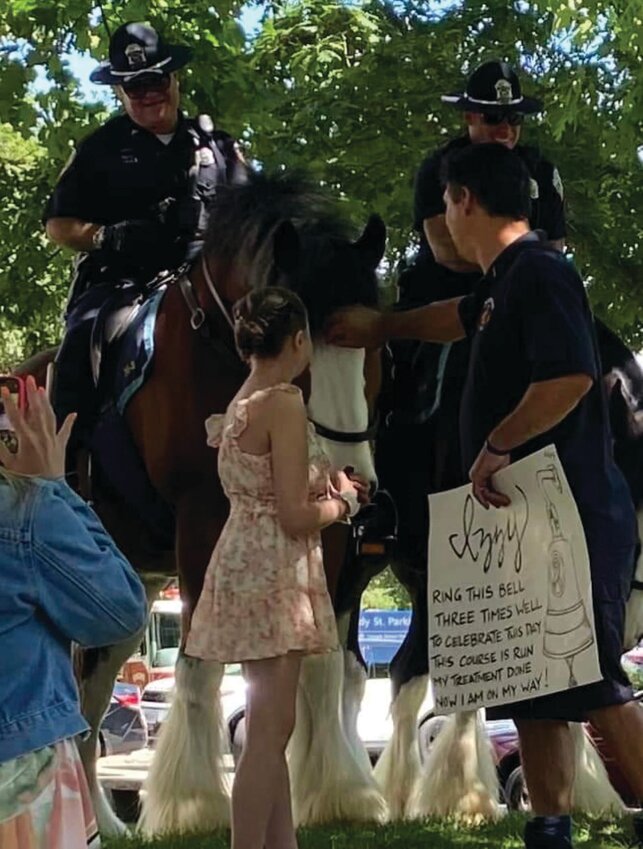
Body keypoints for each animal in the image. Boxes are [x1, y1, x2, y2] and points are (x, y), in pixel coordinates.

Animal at [17, 172, 388, 836]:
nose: (352, 476)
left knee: (89, 694)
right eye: (308, 353)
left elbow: (321, 665)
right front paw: (194, 804)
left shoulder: (325, 540)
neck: (216, 350)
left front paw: (340, 793)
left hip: (125, 589)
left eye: (371, 350)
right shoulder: (199, 523)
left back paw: (105, 822)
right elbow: (199, 667)